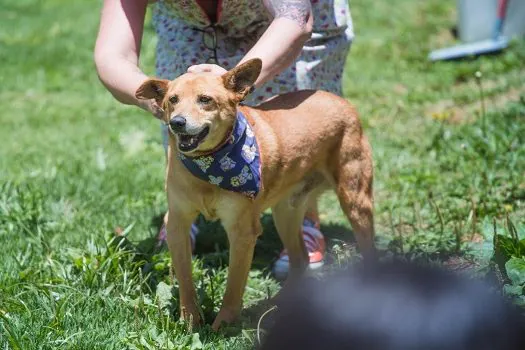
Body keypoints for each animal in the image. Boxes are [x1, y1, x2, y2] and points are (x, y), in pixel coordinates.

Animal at [135, 58, 372, 330]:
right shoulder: (177, 223)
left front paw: (223, 326)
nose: (177, 122)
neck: (209, 164)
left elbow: (233, 286)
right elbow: (185, 278)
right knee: (300, 258)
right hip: (286, 212)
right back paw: (281, 302)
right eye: (172, 99)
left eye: (205, 99)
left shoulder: (242, 231)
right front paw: (190, 320)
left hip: (355, 201)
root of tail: (336, 98)